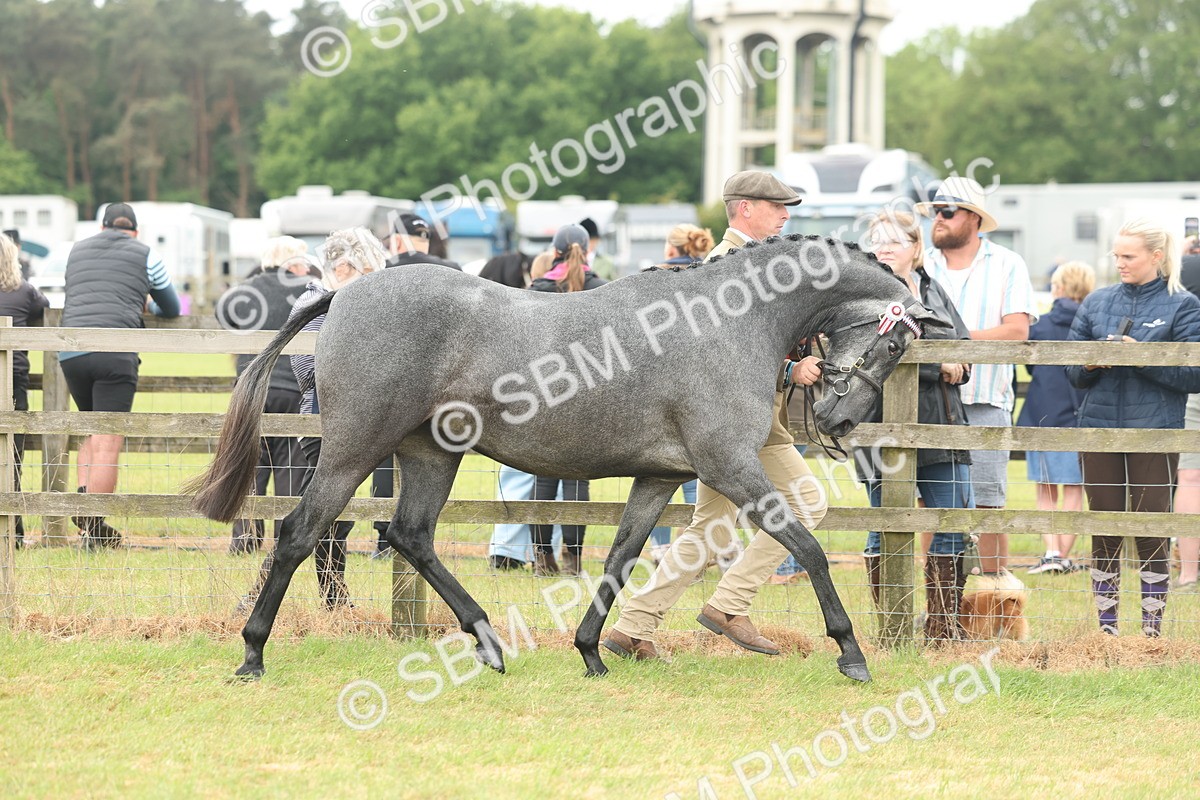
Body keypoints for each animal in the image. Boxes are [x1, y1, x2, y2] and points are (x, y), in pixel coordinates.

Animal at [190, 234, 948, 682]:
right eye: (894, 344)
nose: (839, 421)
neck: (728, 320)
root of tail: (345, 291)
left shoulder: (660, 478)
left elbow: (622, 558)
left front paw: (591, 650)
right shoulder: (732, 468)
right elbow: (809, 547)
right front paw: (851, 652)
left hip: (432, 454)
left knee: (409, 534)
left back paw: (489, 642)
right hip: (354, 450)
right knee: (299, 533)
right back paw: (253, 652)